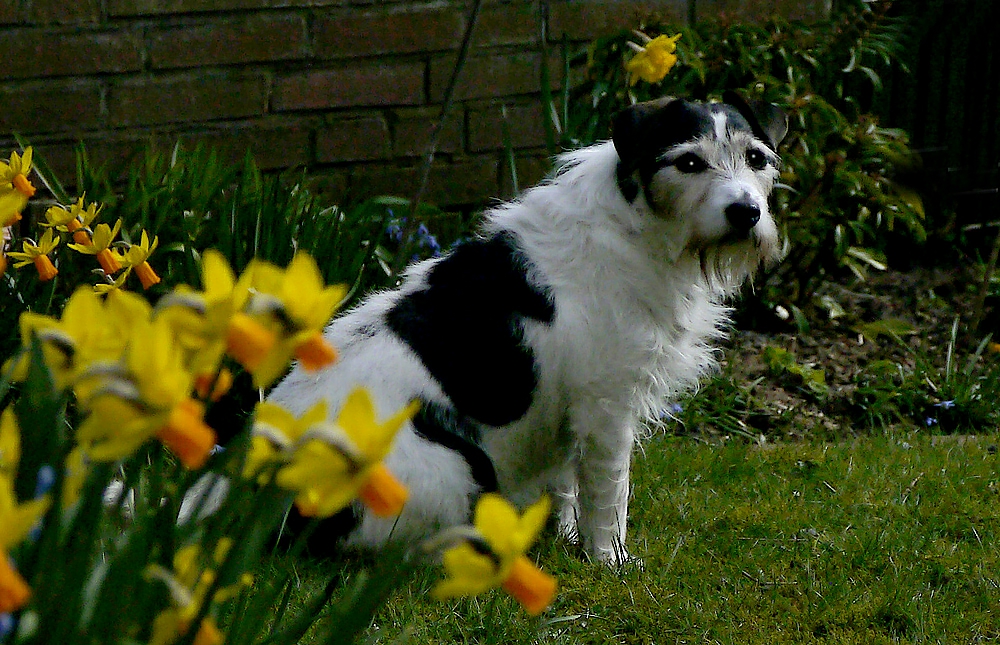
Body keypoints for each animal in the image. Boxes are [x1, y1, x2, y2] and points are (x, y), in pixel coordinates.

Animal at [268, 92, 788, 564]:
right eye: (689, 161)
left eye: (756, 158)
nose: (746, 213)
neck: (637, 226)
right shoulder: (607, 405)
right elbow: (608, 496)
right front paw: (610, 561)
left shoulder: (567, 412)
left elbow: (564, 485)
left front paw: (564, 538)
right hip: (452, 468)